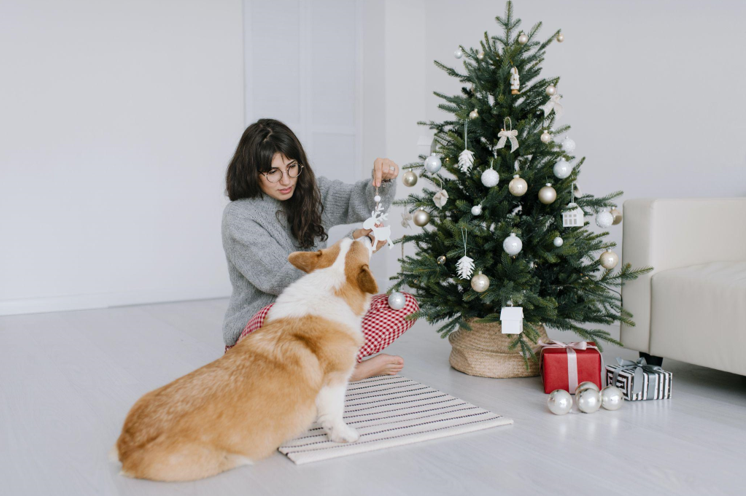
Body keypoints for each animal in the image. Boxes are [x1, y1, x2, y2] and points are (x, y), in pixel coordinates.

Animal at [112, 236, 376, 480]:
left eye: (347, 241)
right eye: (357, 244)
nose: (367, 235)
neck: (328, 284)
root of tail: (126, 450)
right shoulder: (335, 382)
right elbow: (335, 415)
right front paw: (345, 435)